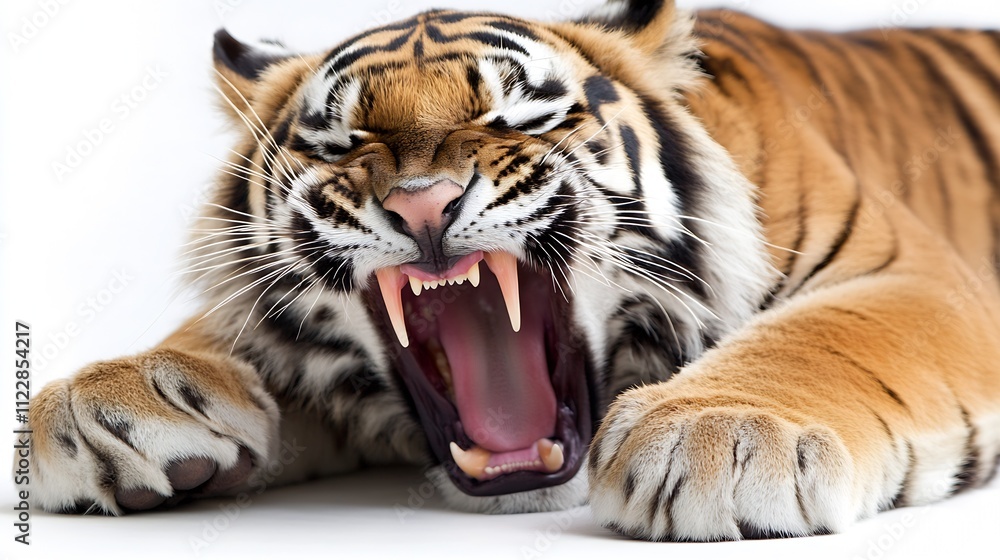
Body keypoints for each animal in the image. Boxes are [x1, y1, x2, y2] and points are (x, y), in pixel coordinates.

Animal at [16, 0, 1000, 542]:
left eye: (513, 119)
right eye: (344, 143)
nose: (423, 204)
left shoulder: (911, 273)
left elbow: (825, 333)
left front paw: (719, 433)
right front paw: (116, 398)